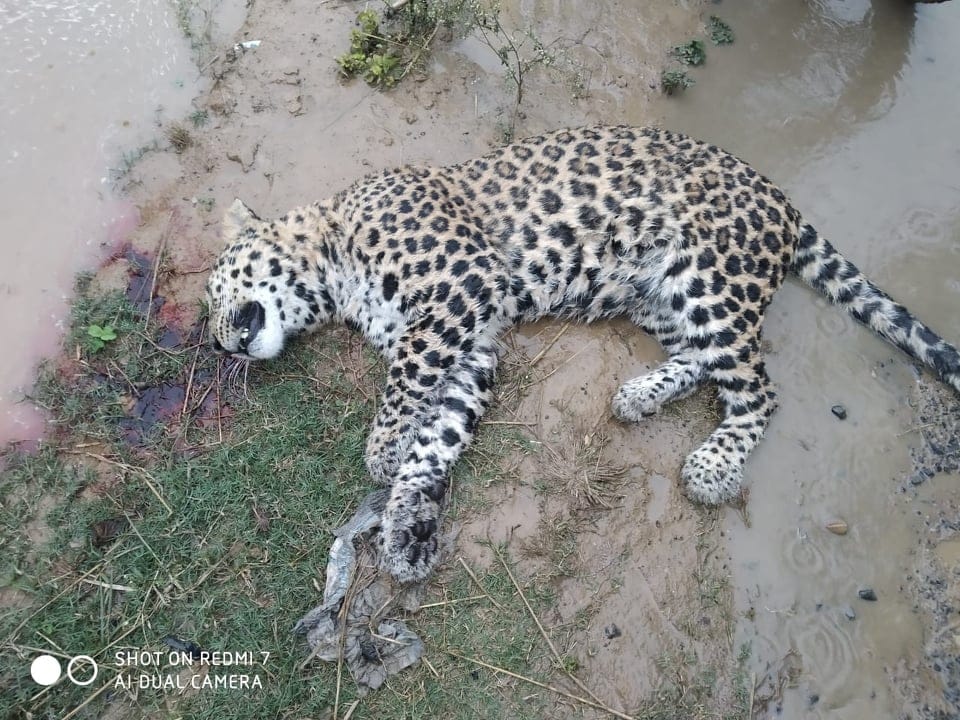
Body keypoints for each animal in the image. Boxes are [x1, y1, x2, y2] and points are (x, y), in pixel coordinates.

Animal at [205, 125, 960, 584]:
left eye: (215, 288)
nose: (218, 339)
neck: (333, 256)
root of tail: (786, 204)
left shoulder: (460, 286)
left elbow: (406, 382)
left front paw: (382, 452)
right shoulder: (472, 348)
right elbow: (439, 434)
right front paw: (407, 526)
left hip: (711, 276)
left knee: (758, 388)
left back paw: (712, 466)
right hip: (662, 294)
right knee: (704, 359)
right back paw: (640, 395)